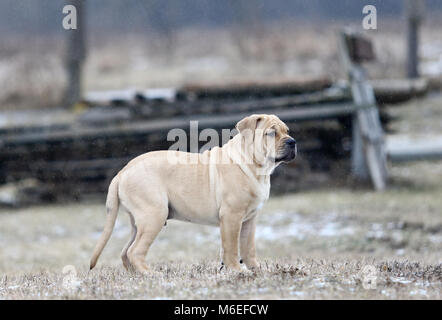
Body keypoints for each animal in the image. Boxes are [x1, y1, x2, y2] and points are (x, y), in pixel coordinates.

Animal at [90, 114, 296, 272]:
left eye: (287, 131)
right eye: (271, 133)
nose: (292, 142)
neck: (254, 166)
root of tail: (123, 171)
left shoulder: (249, 219)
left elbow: (248, 247)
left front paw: (256, 269)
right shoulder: (232, 216)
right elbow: (231, 247)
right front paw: (237, 271)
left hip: (138, 222)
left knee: (125, 252)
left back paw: (136, 276)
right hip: (154, 216)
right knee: (135, 251)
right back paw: (151, 274)